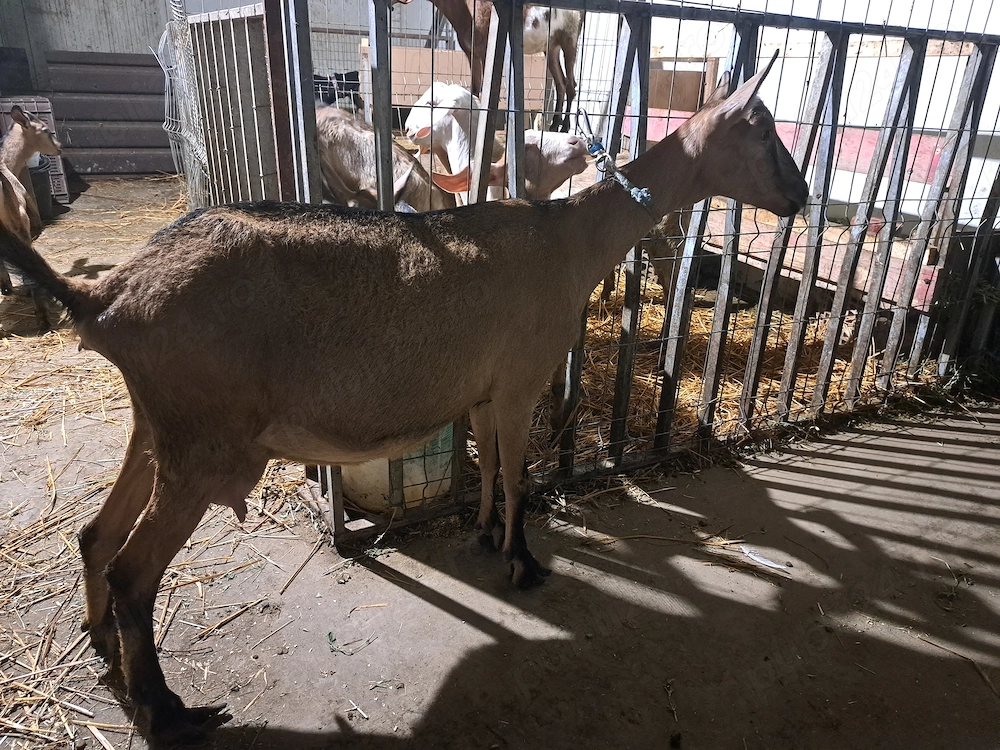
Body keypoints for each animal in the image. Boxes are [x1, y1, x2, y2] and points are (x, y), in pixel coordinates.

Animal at [393, 1, 582, 131]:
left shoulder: (486, 51)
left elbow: (485, 89)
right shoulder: (471, 52)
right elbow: (475, 87)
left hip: (569, 39)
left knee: (571, 84)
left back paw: (565, 127)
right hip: (551, 48)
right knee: (561, 83)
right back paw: (554, 125)